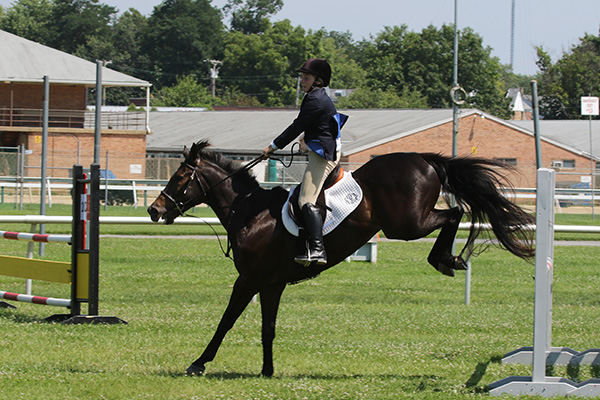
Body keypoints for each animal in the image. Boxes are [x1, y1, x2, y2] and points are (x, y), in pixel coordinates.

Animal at [148, 139, 532, 376]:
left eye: (180, 176)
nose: (154, 210)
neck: (248, 210)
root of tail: (424, 159)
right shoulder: (271, 284)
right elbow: (267, 328)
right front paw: (267, 371)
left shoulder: (248, 280)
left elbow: (225, 321)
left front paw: (199, 363)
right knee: (454, 213)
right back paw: (449, 259)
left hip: (407, 224)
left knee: (454, 213)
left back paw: (445, 260)